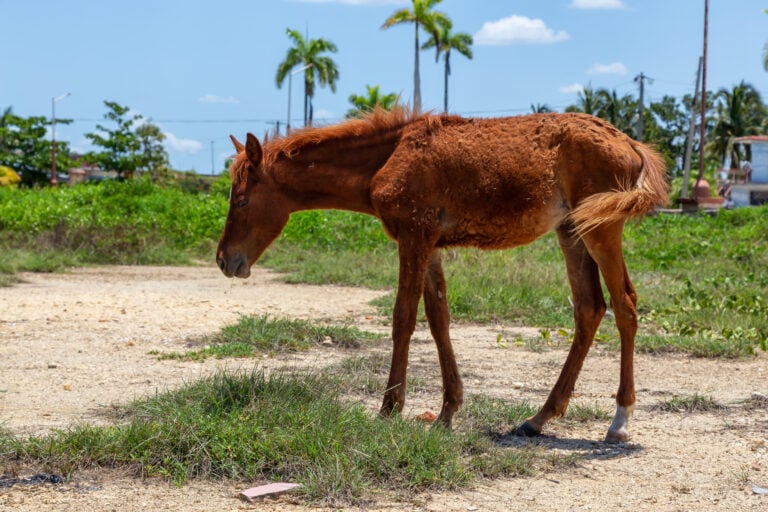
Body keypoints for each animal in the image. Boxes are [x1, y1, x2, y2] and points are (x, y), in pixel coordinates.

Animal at [216, 108, 668, 443]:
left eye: (241, 200)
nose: (224, 260)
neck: (387, 157)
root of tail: (629, 142)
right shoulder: (430, 245)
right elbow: (439, 320)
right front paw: (448, 411)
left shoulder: (413, 237)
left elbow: (403, 318)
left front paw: (389, 408)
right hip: (572, 231)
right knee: (589, 308)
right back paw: (538, 418)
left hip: (602, 228)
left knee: (625, 305)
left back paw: (619, 421)